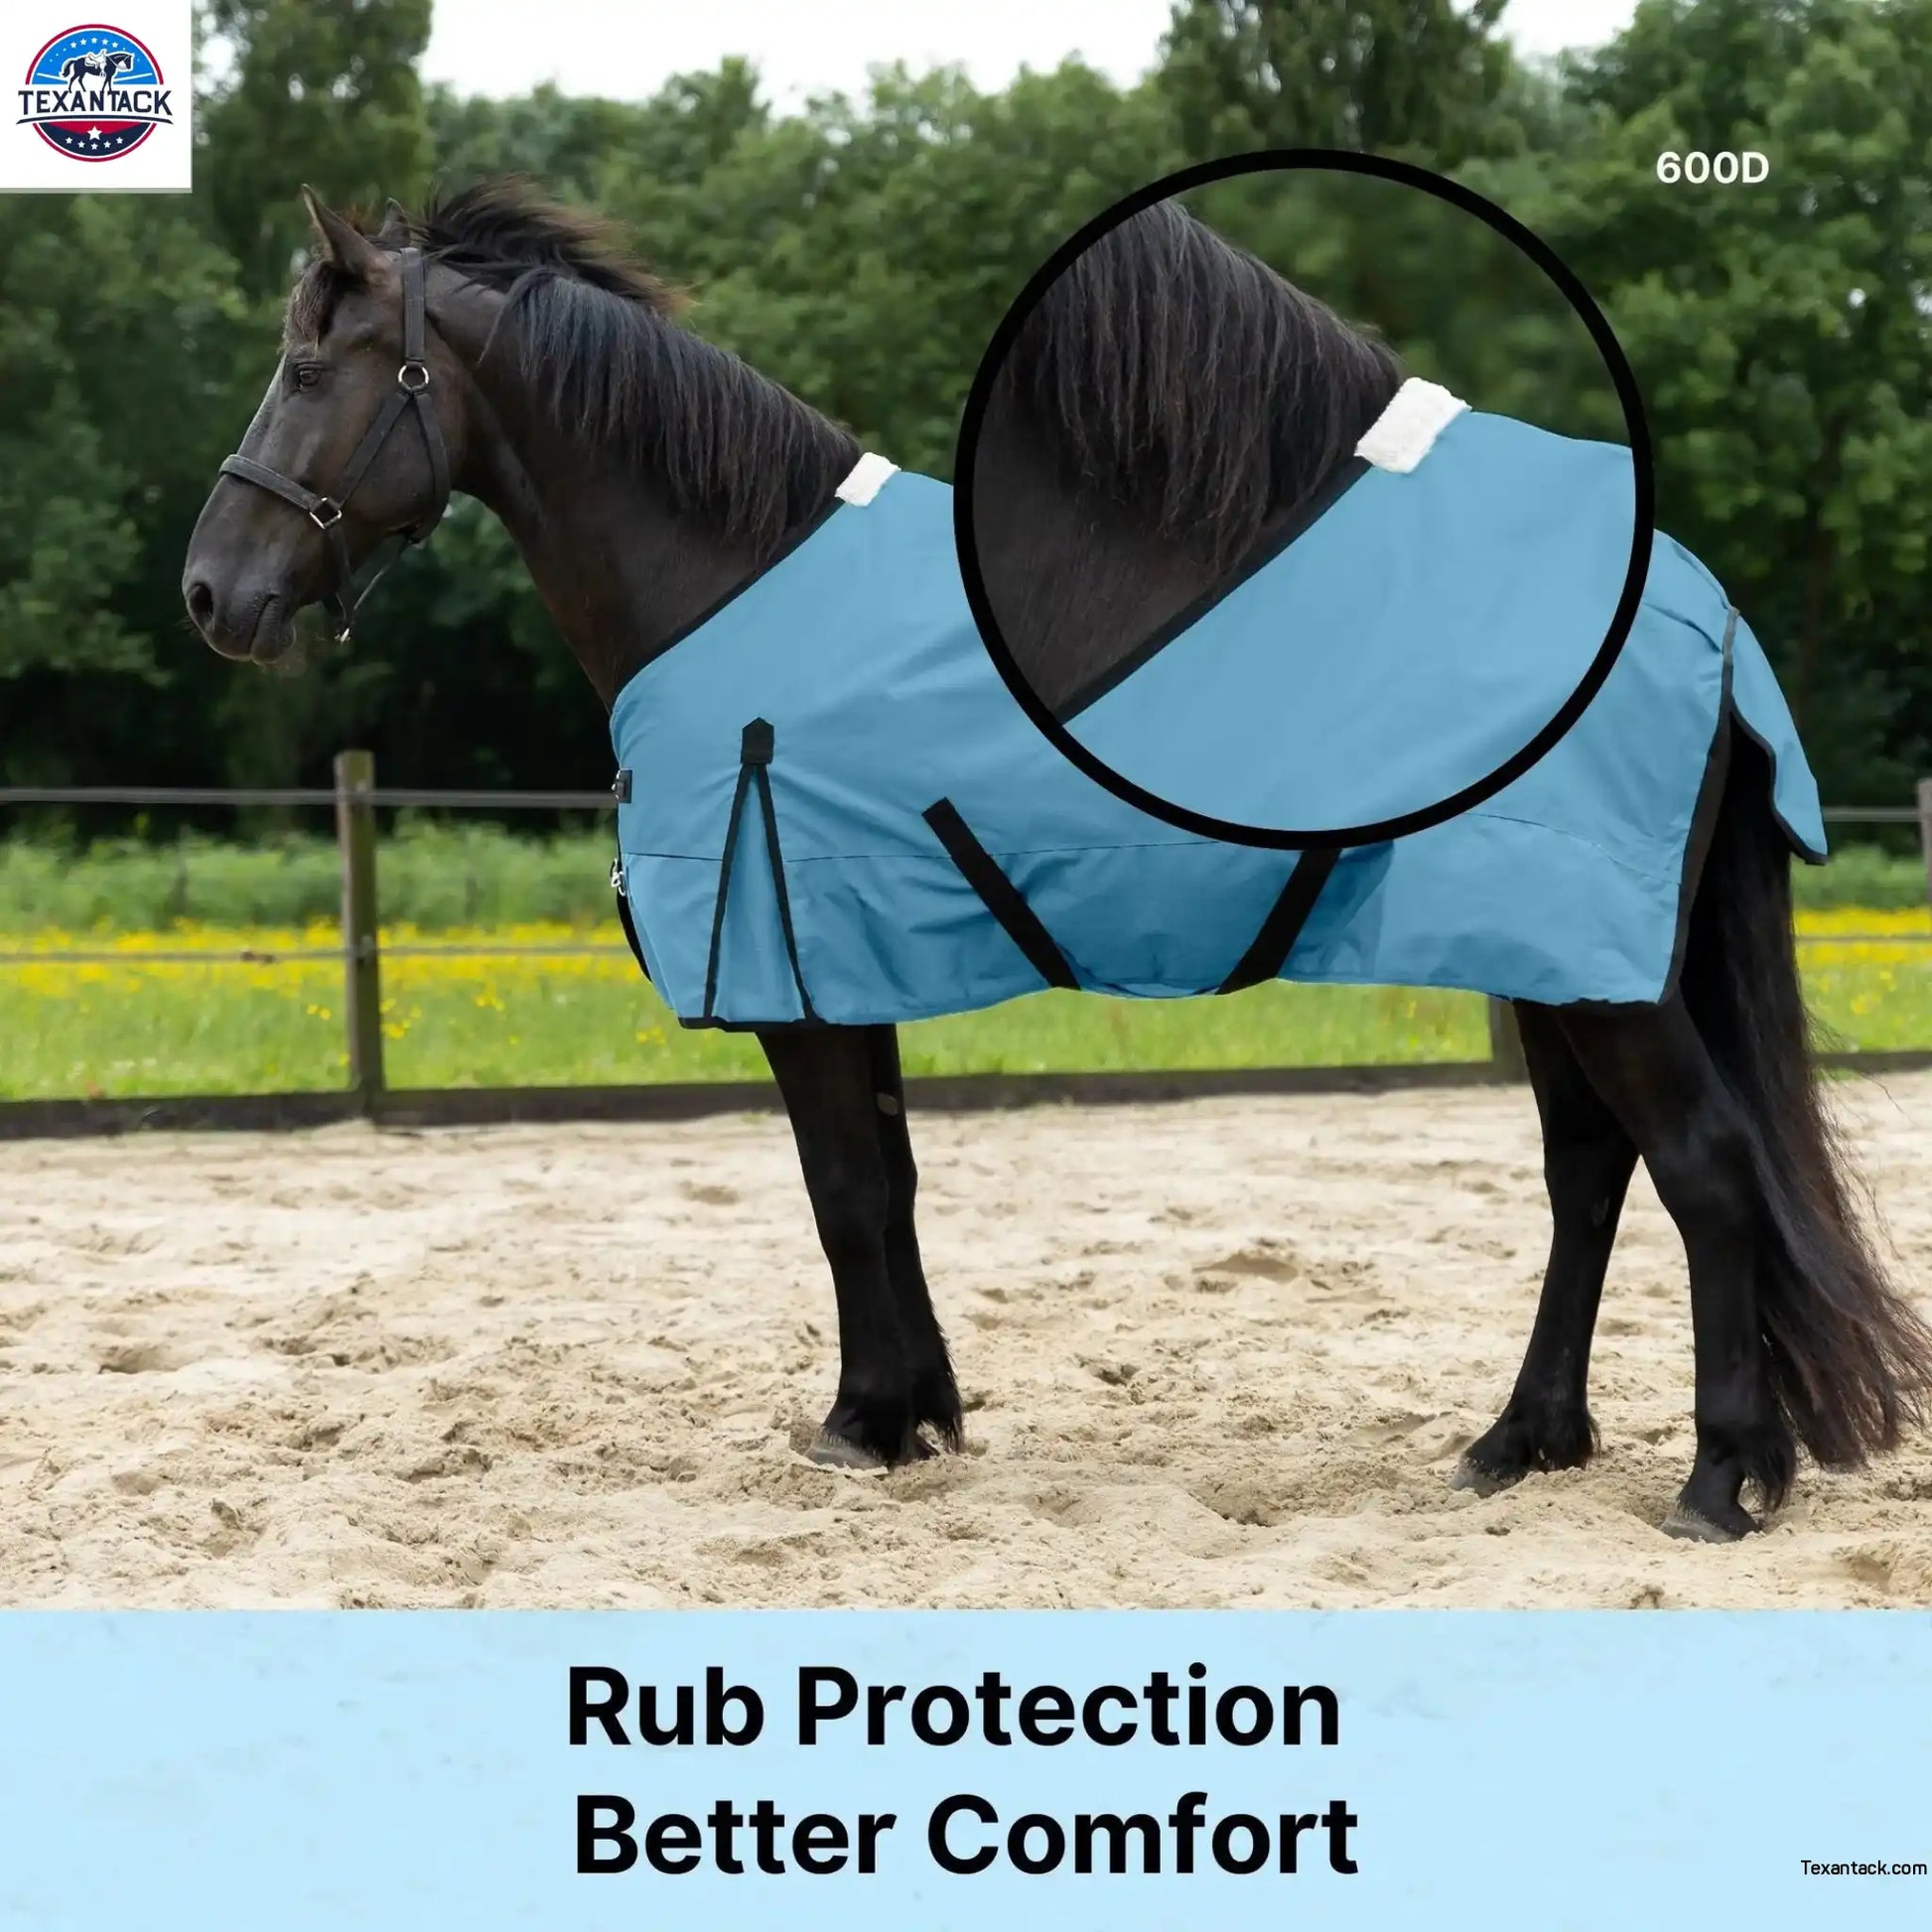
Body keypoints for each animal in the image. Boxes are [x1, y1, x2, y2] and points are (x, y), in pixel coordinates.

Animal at [182, 179, 1932, 1544]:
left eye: (305, 365)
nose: (211, 592)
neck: (731, 580)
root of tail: (1695, 610)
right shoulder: (845, 962)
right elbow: (884, 1184)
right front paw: (917, 1413)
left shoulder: (796, 976)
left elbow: (839, 1193)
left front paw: (860, 1423)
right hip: (1556, 961)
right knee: (1590, 1176)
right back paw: (1519, 1444)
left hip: (1594, 970)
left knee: (1702, 1168)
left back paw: (1718, 1479)